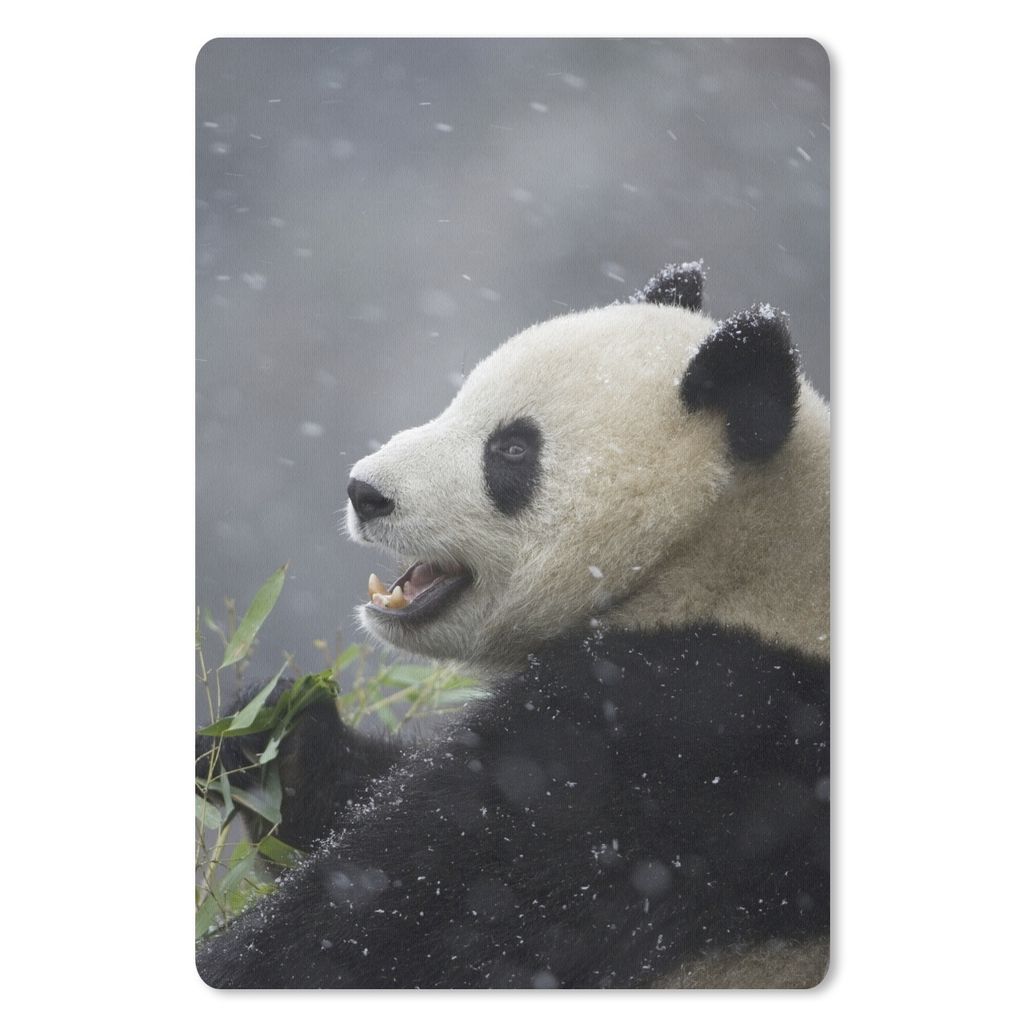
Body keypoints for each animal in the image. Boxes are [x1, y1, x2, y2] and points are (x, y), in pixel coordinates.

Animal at [196, 261, 830, 989]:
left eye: (512, 448)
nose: (365, 492)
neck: (716, 560)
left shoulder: (672, 747)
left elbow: (411, 907)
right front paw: (278, 727)